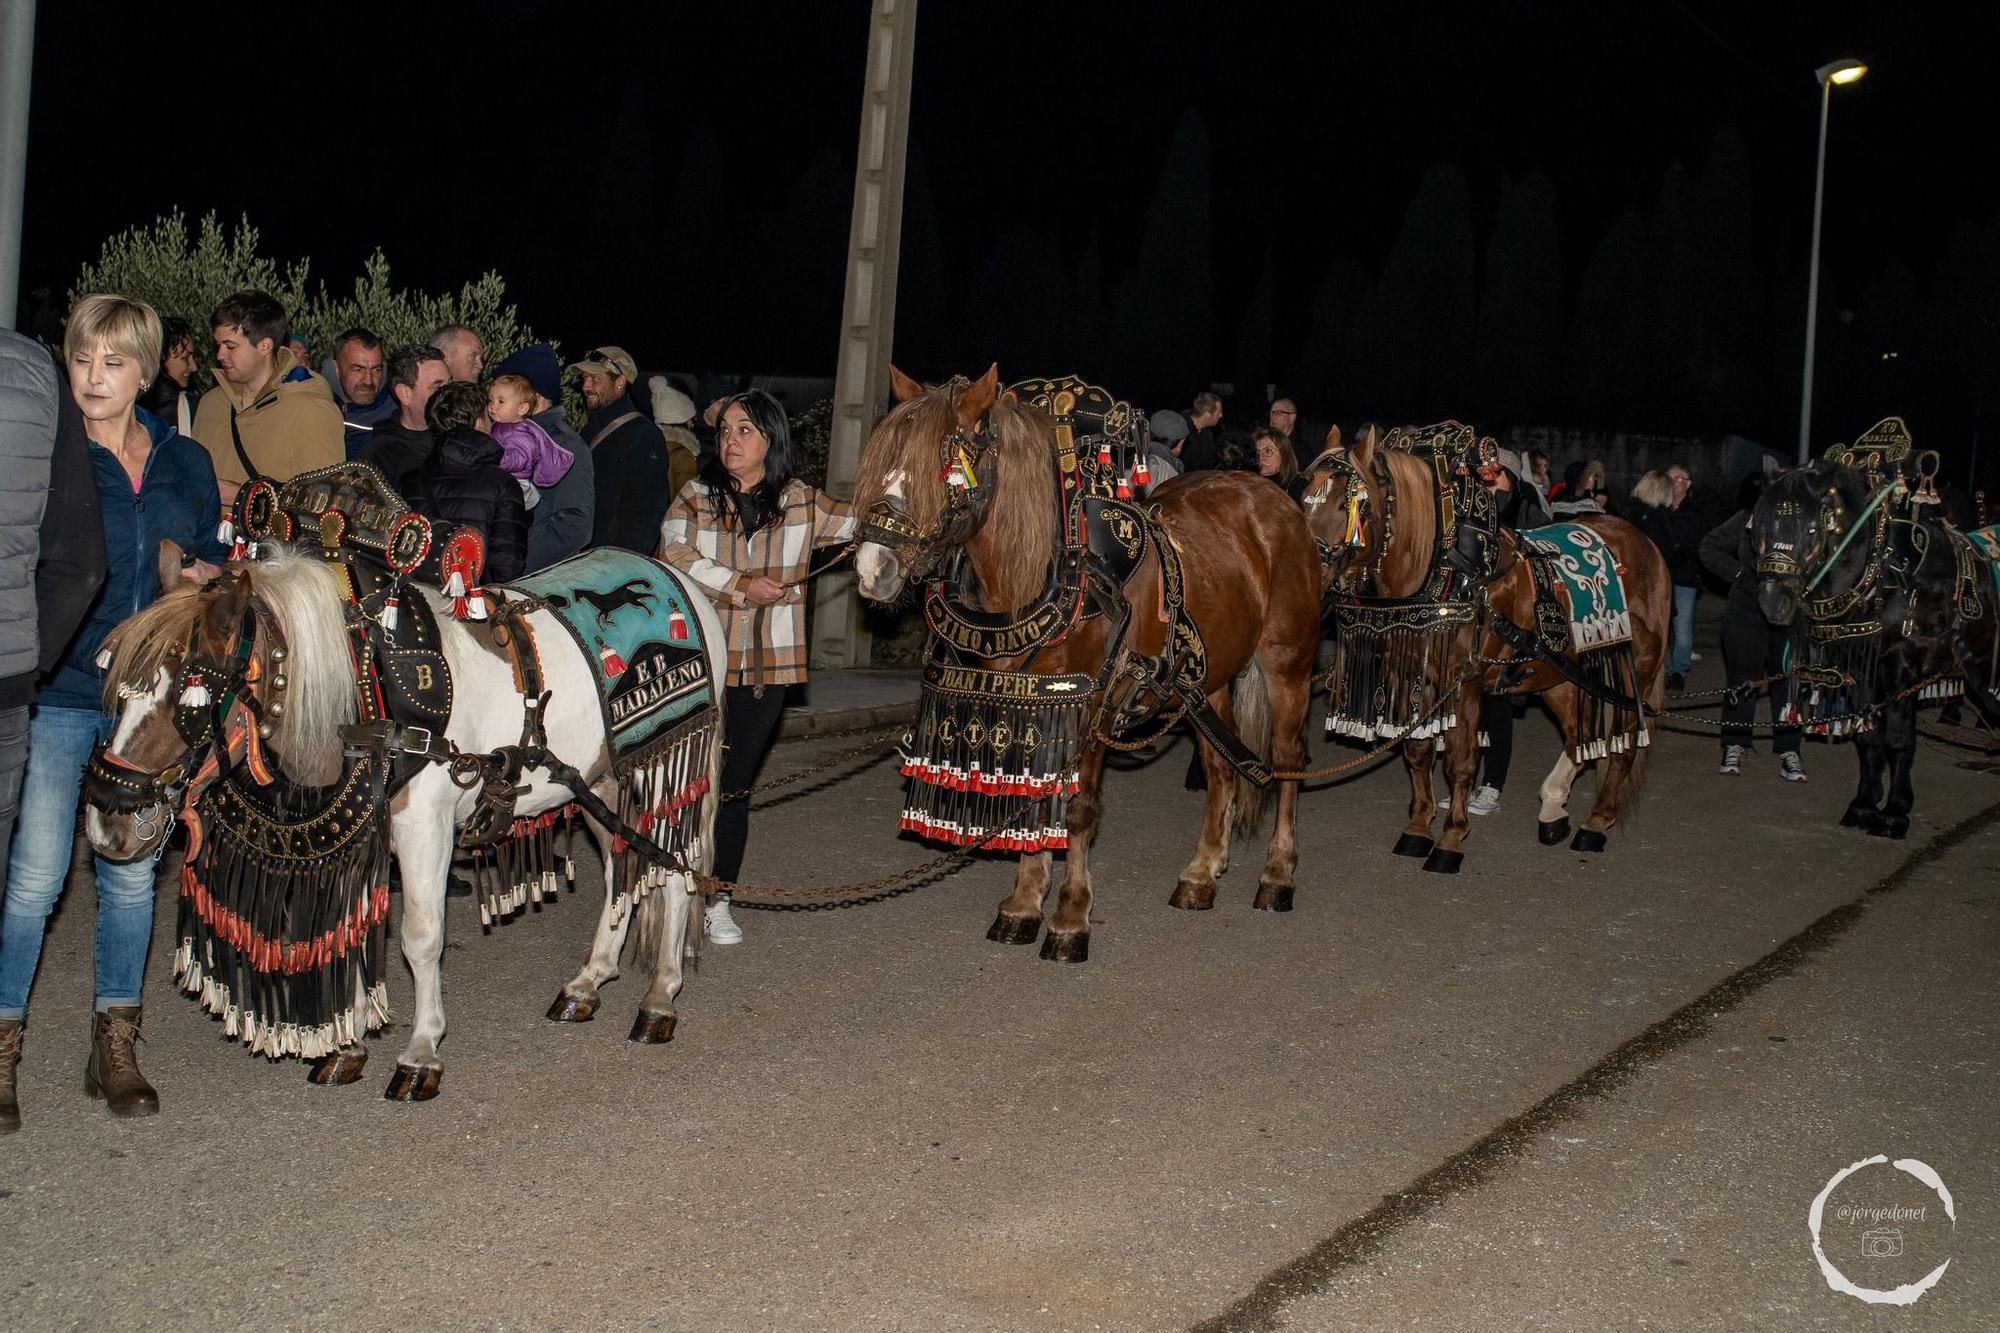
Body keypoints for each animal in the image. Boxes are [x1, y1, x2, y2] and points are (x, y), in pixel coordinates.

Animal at [88, 462, 728, 1096]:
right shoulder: (350, 837)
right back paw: (590, 981)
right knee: (625, 864)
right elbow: (336, 934)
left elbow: (422, 938)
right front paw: (344, 1046)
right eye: (116, 683)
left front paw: (421, 1050)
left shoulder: (425, 828)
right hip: (597, 783)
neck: (368, 690)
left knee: (675, 868)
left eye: (188, 699)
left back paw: (660, 996)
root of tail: (679, 579)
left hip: (669, 762)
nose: (106, 821)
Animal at [848, 364, 1328, 956]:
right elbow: (1032, 798)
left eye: (946, 468)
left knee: (1287, 761)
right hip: (1204, 676)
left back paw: (1277, 874)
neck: (1054, 576)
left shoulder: (1092, 706)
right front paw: (1023, 904)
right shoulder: (1030, 702)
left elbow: (1077, 809)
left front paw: (1070, 917)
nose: (874, 568)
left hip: (1289, 662)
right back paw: (1201, 872)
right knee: (1221, 769)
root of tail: (1273, 496)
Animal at [1304, 420, 1664, 868]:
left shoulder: (1465, 685)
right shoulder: (1411, 675)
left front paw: (1450, 839)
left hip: (1635, 673)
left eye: (1347, 504)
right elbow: (1418, 752)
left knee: (1625, 741)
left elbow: (1461, 761)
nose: (1306, 570)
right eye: (1304, 497)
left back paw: (1596, 823)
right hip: (1558, 674)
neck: (1444, 571)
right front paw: (1418, 828)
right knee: (1577, 734)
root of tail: (1646, 546)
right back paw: (1553, 808)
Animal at [1752, 416, 2000, 836]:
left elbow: (1899, 740)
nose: (1774, 600)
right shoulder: (1859, 662)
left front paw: (1896, 811)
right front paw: (1864, 804)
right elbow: (1869, 737)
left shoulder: (1902, 665)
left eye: (1812, 530)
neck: (1885, 575)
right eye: (1761, 525)